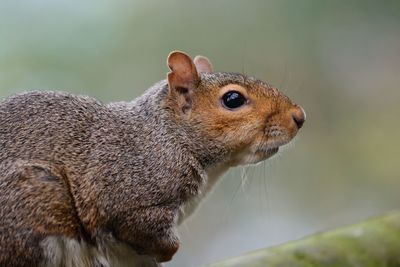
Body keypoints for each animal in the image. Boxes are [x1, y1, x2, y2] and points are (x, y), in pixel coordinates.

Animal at [0, 51, 306, 266]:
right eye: (233, 99)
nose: (299, 116)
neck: (167, 137)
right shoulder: (130, 195)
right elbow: (142, 230)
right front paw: (167, 252)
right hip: (36, 199)